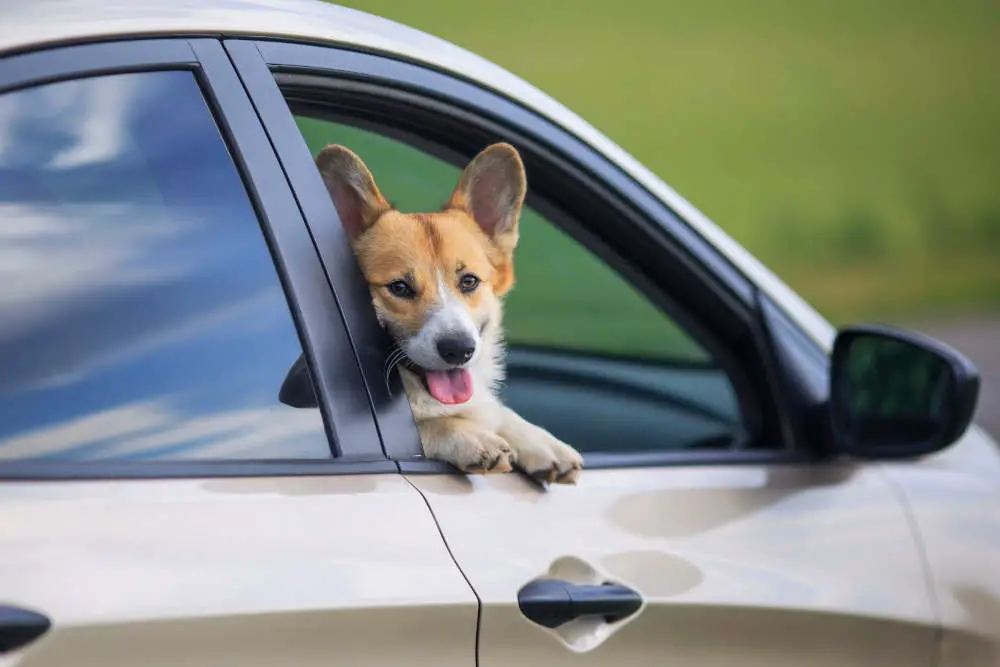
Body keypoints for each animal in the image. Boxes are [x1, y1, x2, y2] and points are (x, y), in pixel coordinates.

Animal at [316, 142, 584, 486]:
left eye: (469, 281)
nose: (459, 350)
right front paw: (470, 436)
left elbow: (496, 411)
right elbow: (431, 425)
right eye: (399, 287)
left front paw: (540, 441)